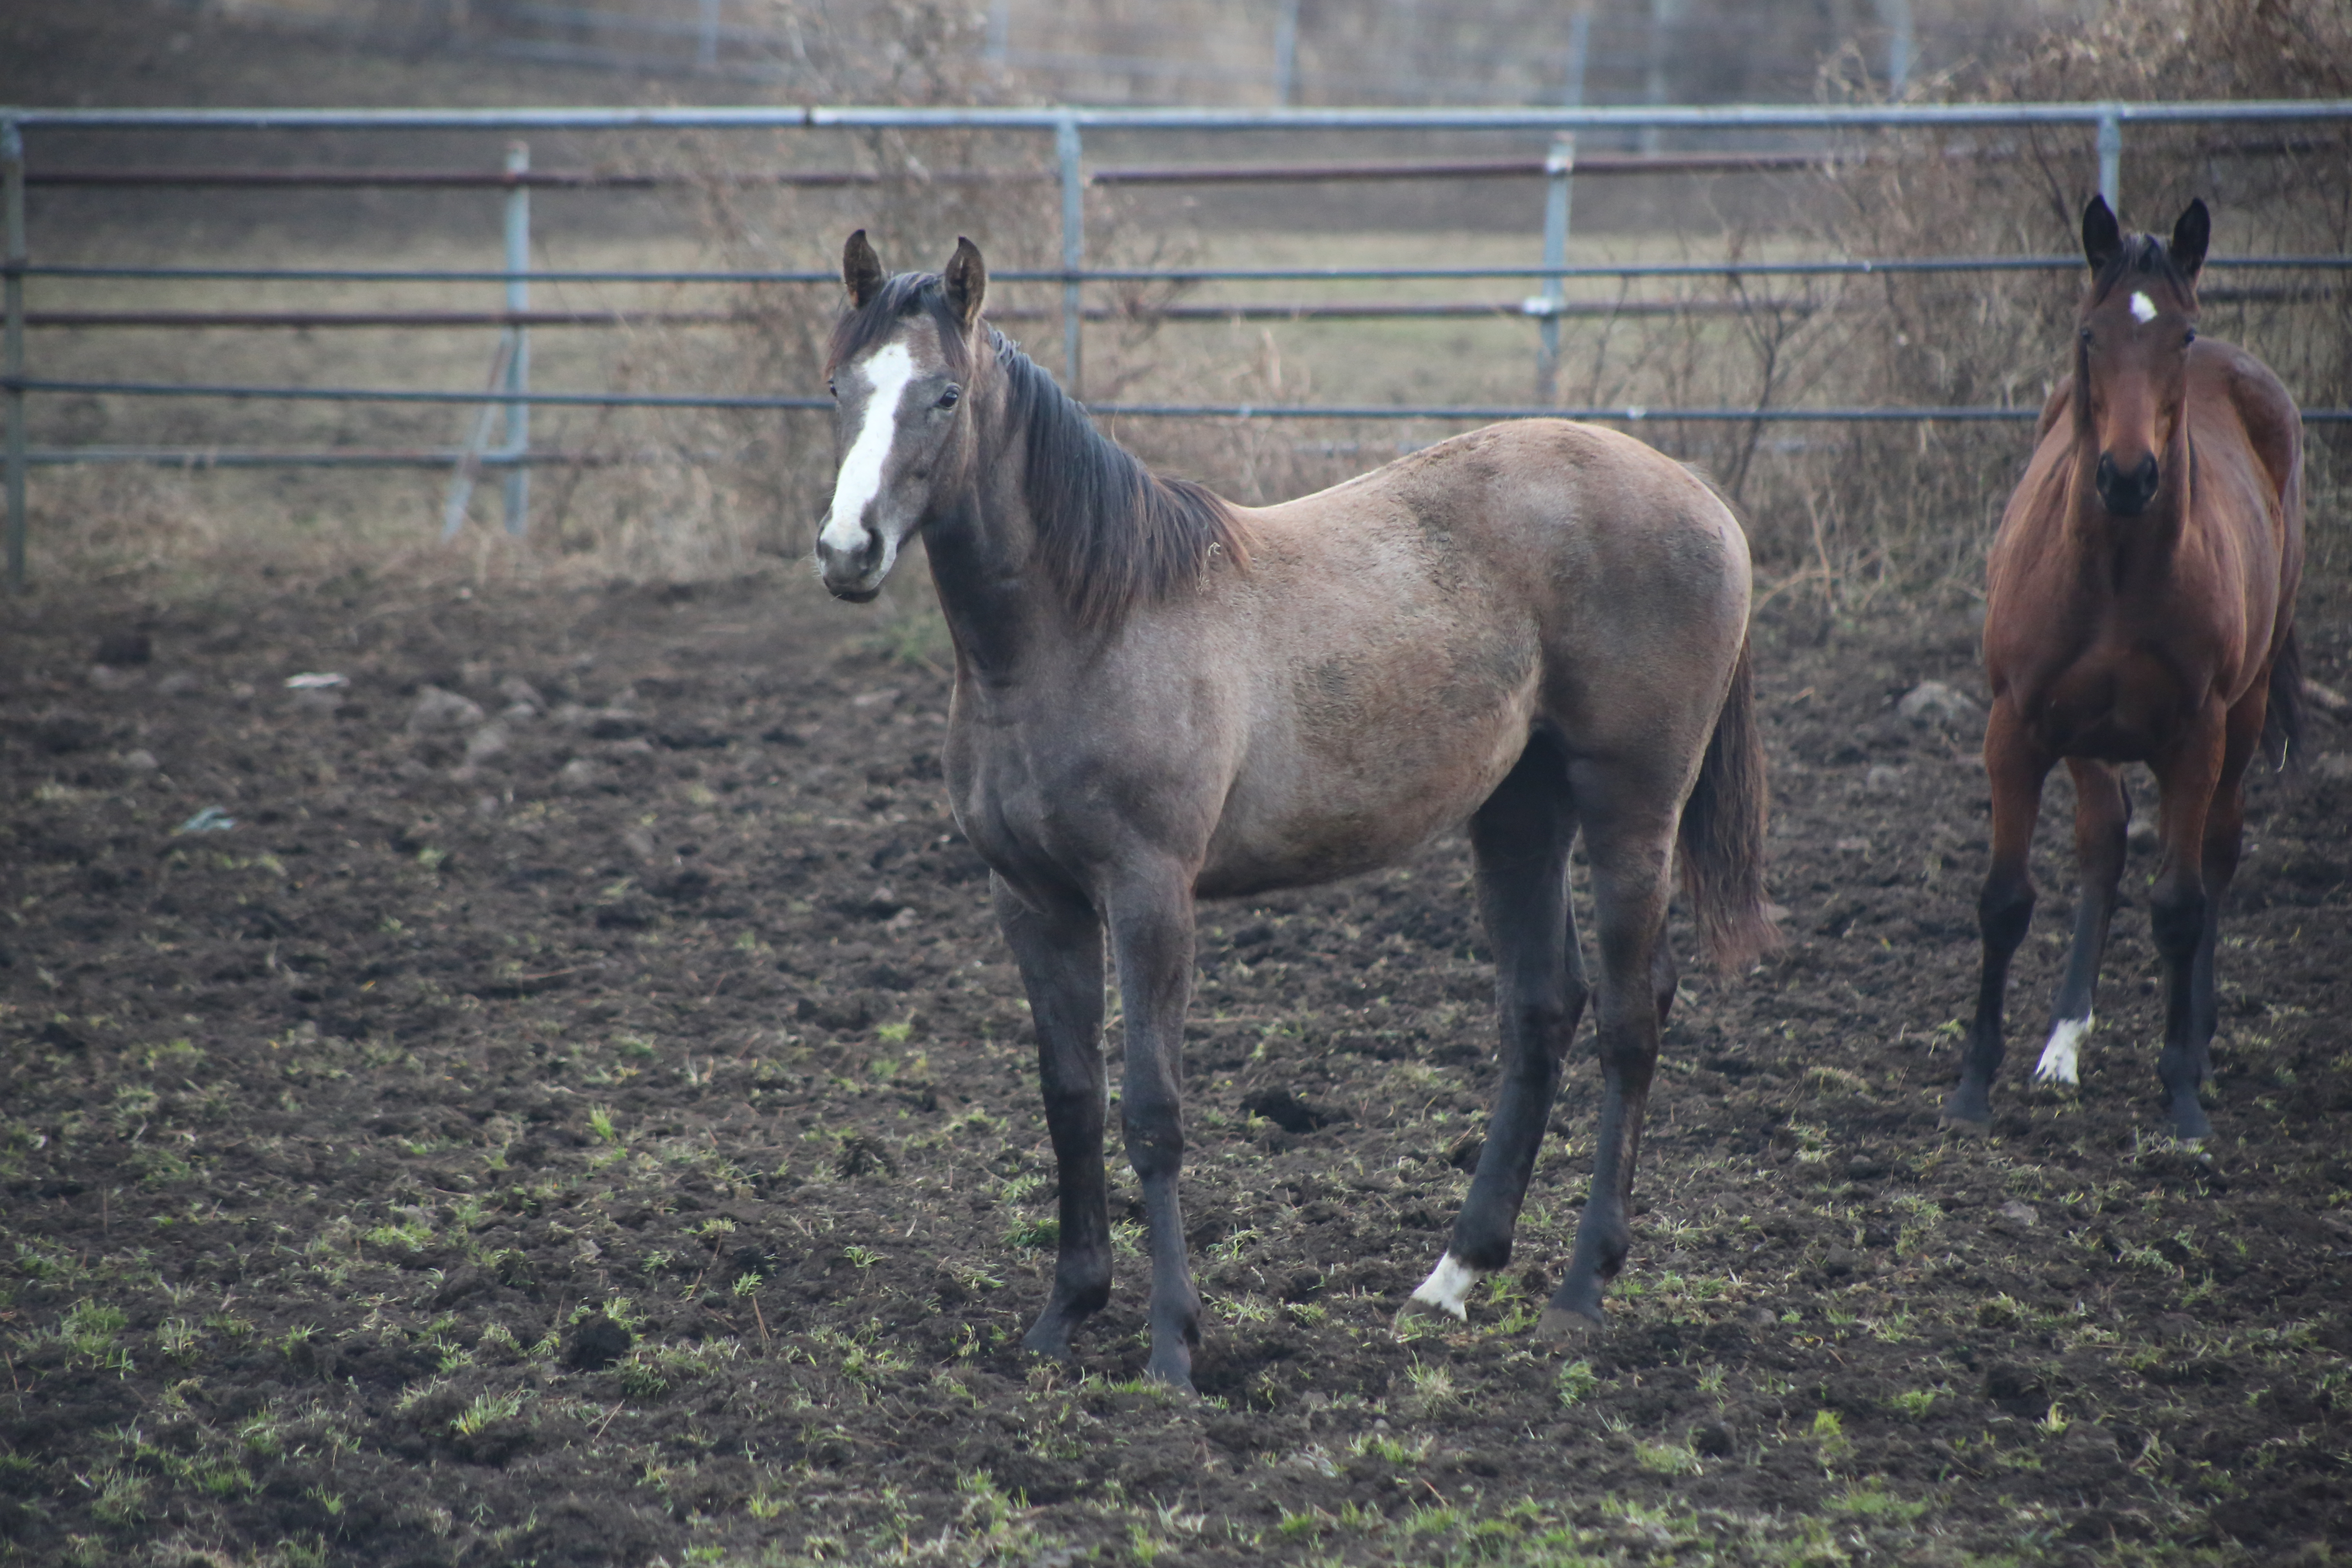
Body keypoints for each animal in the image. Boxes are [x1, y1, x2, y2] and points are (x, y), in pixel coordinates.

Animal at [818, 230, 1768, 1382]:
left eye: (945, 395)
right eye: (839, 388)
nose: (847, 551)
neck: (1082, 629)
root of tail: (1699, 497)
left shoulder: (1150, 894)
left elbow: (1152, 1111)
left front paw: (1171, 1348)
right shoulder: (1032, 899)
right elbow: (1069, 1098)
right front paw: (1061, 1316)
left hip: (1631, 808)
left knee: (1633, 1018)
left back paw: (1580, 1291)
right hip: (1518, 812)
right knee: (1543, 1008)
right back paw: (1453, 1277)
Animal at [1947, 202, 2295, 1147]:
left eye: (2182, 334)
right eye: (2089, 334)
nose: (2130, 475)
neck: (2116, 573)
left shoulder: (2196, 736)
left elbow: (2177, 904)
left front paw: (2181, 1097)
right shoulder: (2018, 727)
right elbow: (2006, 900)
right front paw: (1973, 1088)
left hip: (2244, 718)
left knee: (2218, 854)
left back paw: (2200, 1046)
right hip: (2086, 736)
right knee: (2104, 841)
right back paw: (2063, 1043)